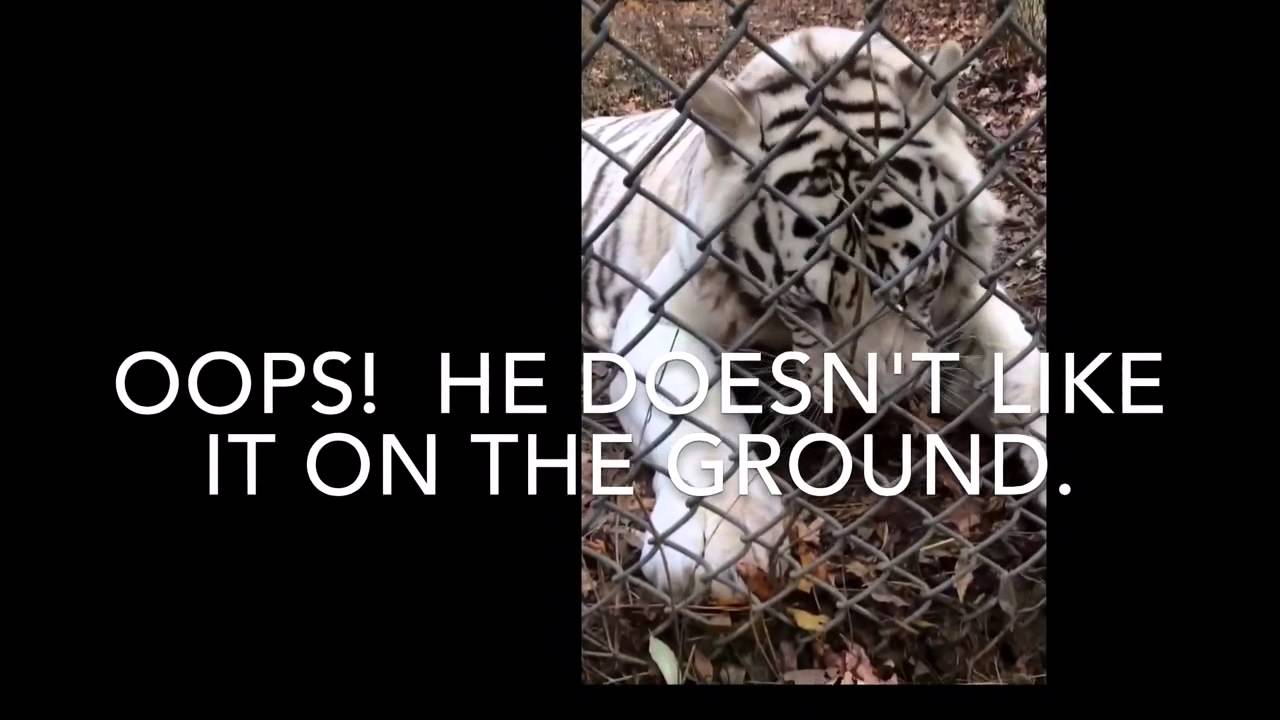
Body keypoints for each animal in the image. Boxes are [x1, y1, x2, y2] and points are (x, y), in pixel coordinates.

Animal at [581, 26, 1046, 603]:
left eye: (914, 289)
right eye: (812, 306)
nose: (875, 411)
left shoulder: (960, 302)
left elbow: (1020, 362)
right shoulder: (659, 312)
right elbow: (697, 417)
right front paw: (721, 536)